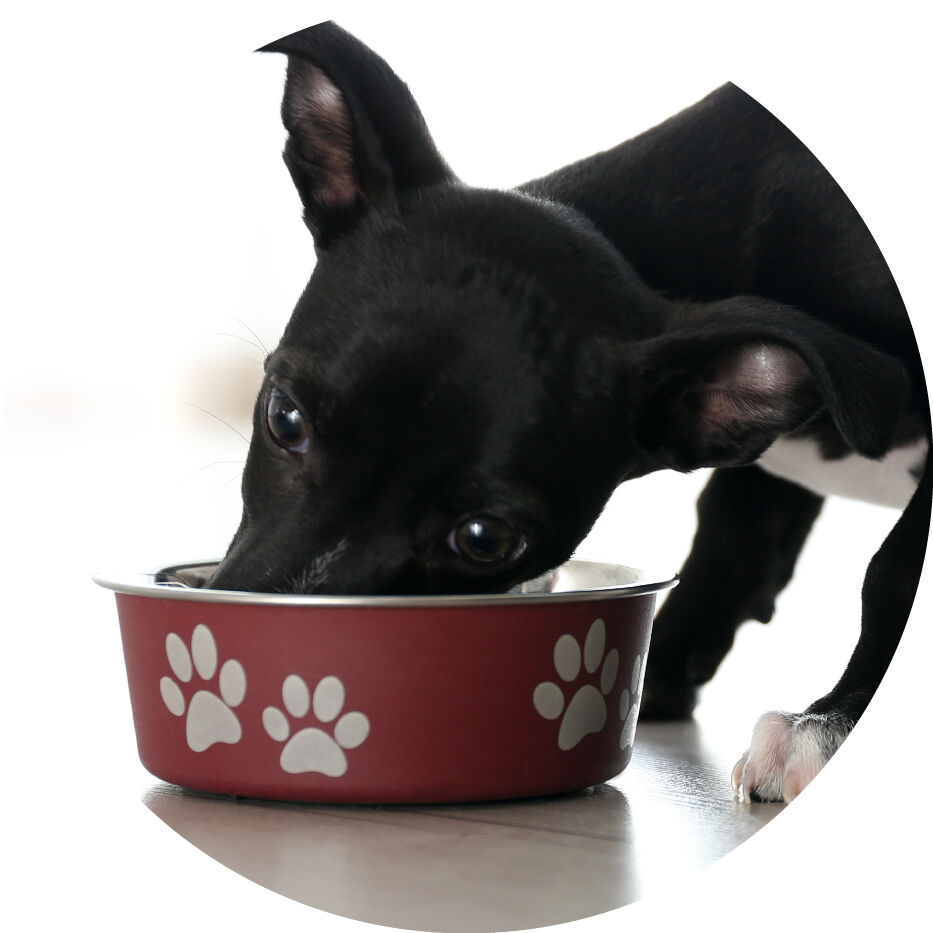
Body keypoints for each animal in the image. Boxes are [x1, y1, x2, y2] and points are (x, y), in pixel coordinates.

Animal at [206, 25, 932, 804]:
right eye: (285, 420)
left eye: (484, 539)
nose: (258, 652)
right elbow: (734, 535)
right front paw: (661, 666)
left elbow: (892, 568)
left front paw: (827, 727)